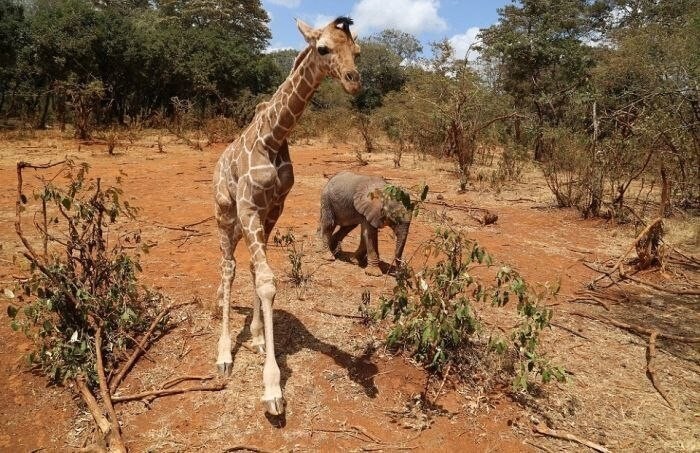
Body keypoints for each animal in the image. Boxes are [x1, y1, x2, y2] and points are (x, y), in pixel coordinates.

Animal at [209, 16, 360, 414]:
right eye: (323, 48)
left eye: (356, 51)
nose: (354, 80)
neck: (273, 137)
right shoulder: (248, 205)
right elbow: (265, 280)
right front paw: (272, 388)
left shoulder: (274, 207)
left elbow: (262, 276)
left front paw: (261, 342)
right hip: (224, 211)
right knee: (227, 266)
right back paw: (224, 353)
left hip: (248, 220)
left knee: (242, 265)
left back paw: (253, 334)